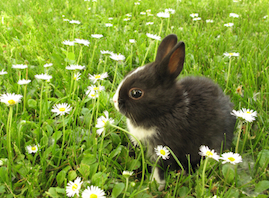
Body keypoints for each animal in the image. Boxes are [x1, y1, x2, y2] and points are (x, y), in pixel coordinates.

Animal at [112, 34, 233, 190]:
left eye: (136, 93)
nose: (115, 101)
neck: (166, 109)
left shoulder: (165, 148)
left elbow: (159, 168)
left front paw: (154, 186)